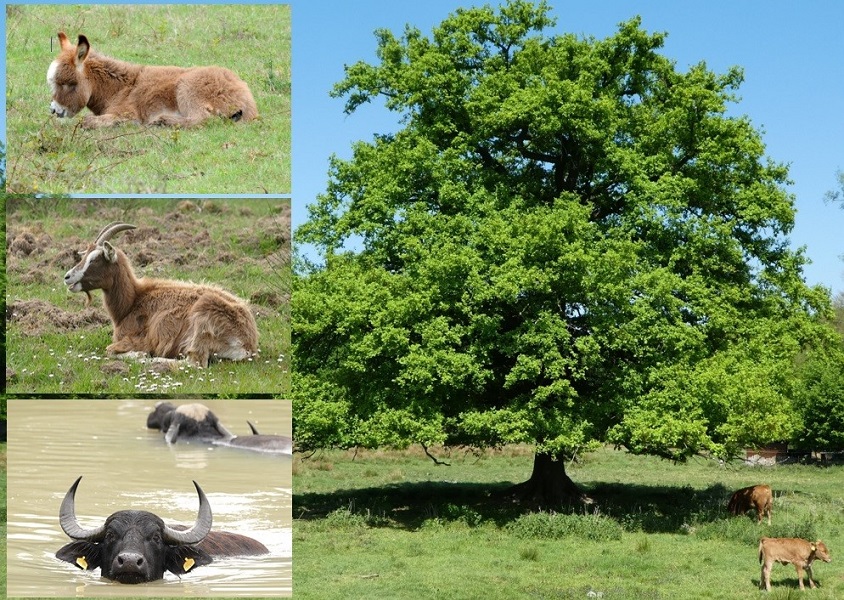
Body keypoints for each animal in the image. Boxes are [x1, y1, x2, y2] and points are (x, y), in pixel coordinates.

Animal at [64, 223, 258, 368]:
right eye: (84, 256)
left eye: (94, 259)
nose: (67, 277)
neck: (133, 301)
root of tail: (248, 343)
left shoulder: (136, 339)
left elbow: (110, 350)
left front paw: (140, 355)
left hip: (202, 318)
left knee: (195, 363)